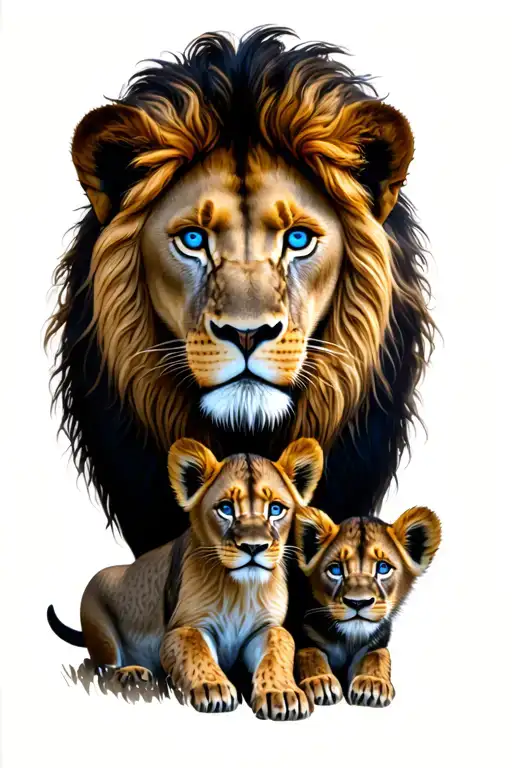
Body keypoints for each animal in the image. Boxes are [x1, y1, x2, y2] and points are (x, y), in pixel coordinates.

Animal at [48, 436, 324, 719]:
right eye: (226, 508)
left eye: (276, 509)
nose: (253, 547)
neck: (240, 591)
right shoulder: (184, 627)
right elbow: (195, 650)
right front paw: (213, 688)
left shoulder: (265, 627)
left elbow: (280, 645)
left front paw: (282, 693)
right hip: (98, 622)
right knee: (103, 667)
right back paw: (131, 674)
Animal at [292, 505, 441, 707]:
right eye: (336, 569)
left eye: (383, 568)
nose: (358, 602)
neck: (349, 640)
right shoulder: (305, 634)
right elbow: (309, 652)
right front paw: (321, 681)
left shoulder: (377, 643)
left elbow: (378, 655)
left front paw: (372, 685)